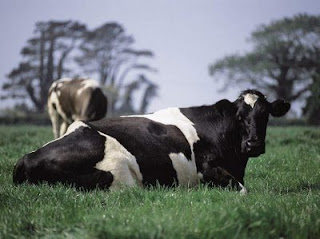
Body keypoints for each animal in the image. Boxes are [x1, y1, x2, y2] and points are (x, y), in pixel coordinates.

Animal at [13, 88, 290, 193]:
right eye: (239, 117)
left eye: (265, 115)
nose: (254, 144)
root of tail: (27, 157)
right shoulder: (205, 170)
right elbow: (243, 190)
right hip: (120, 175)